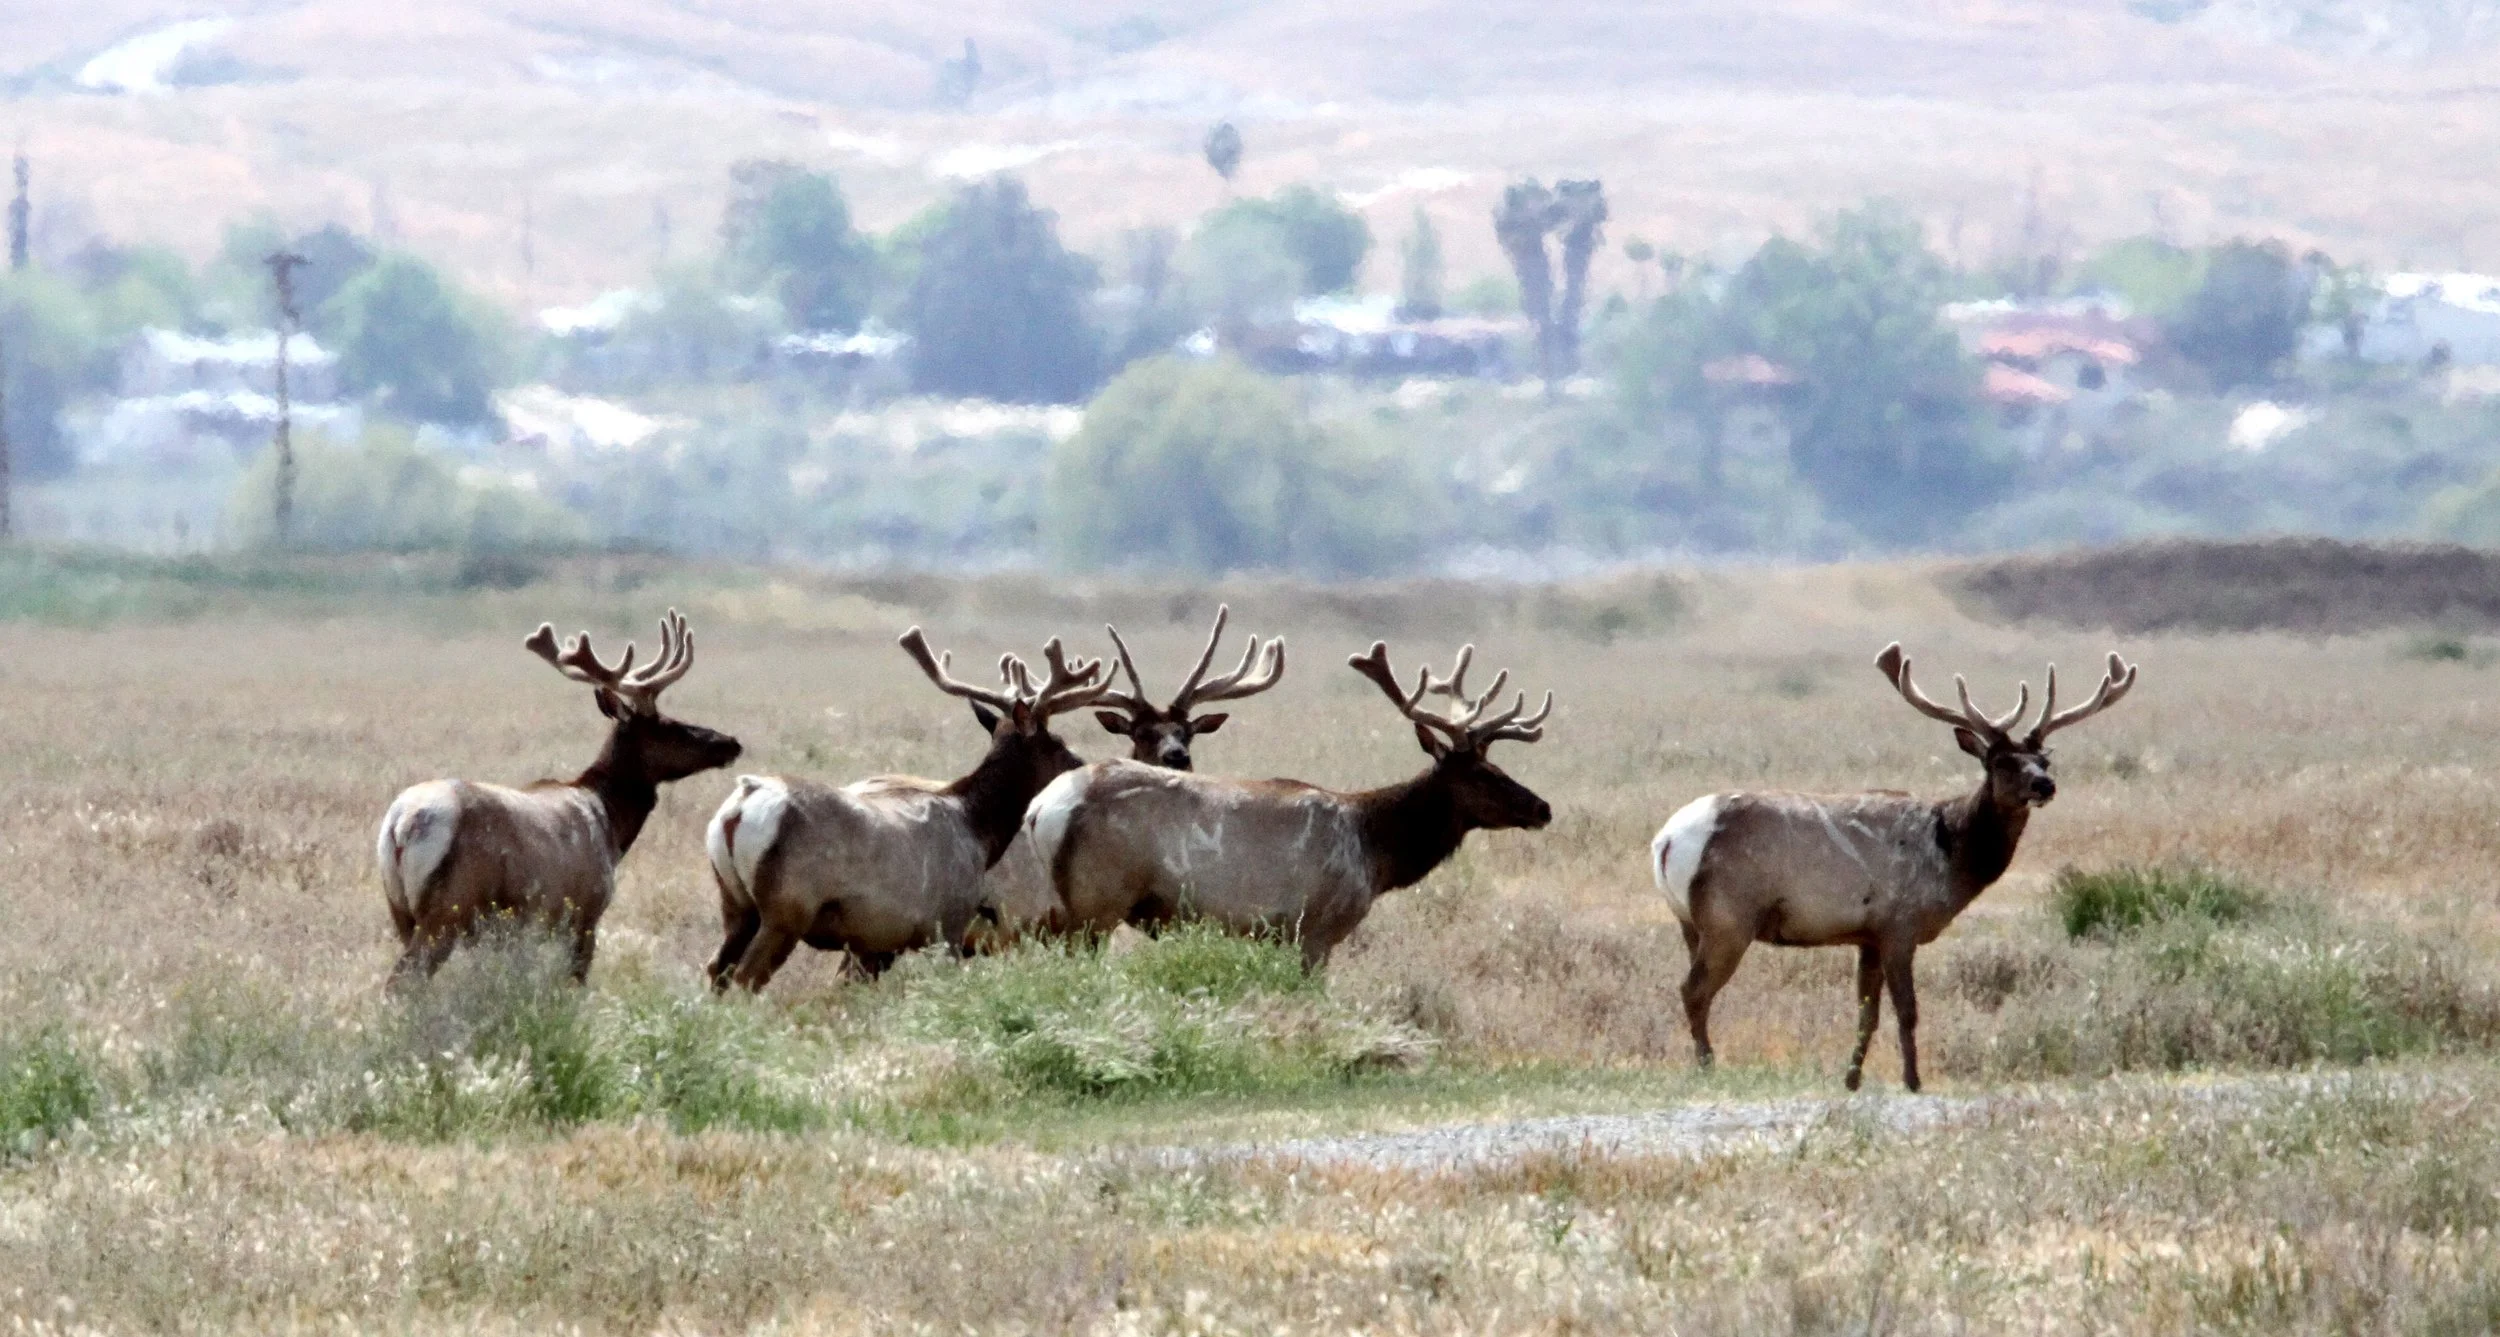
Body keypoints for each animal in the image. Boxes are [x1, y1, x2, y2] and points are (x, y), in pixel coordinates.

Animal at [375, 610, 742, 987]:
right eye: (668, 725)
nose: (730, 743)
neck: (612, 823)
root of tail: (401, 824)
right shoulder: (586, 911)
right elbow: (576, 981)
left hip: (400, 909)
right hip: (449, 909)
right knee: (403, 982)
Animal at [703, 627, 1111, 992]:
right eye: (1057, 742)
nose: (1082, 766)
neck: (979, 829)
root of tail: (740, 805)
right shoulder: (947, 922)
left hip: (735, 903)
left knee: (716, 969)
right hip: (786, 909)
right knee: (745, 977)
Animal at [1023, 641, 1554, 966]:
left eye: (1496, 765)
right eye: (1485, 774)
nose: (1542, 808)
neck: (1375, 852)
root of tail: (1040, 810)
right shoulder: (1315, 928)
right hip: (1096, 903)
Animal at [1651, 642, 2138, 1092]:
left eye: (2044, 759)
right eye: (2000, 762)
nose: (2045, 785)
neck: (1951, 857)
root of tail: (1667, 840)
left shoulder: (1867, 934)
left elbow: (1867, 1012)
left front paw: (1851, 1079)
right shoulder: (1900, 924)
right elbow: (1908, 1010)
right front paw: (1913, 1080)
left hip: (1690, 922)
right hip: (1729, 918)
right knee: (1693, 990)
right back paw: (1707, 1066)